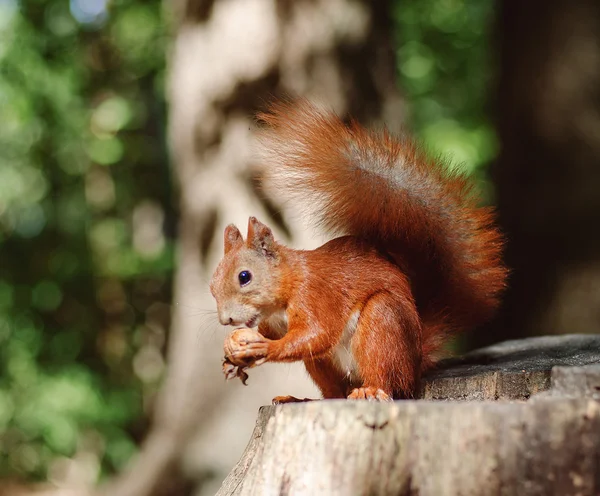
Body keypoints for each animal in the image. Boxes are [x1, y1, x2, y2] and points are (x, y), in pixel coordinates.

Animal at [209, 100, 508, 404]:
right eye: (212, 285)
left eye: (244, 276)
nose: (226, 320)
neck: (288, 283)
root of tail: (416, 362)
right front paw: (231, 357)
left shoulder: (316, 295)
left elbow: (316, 334)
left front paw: (263, 349)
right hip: (325, 364)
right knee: (334, 391)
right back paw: (303, 399)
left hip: (383, 324)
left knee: (387, 379)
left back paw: (371, 389)